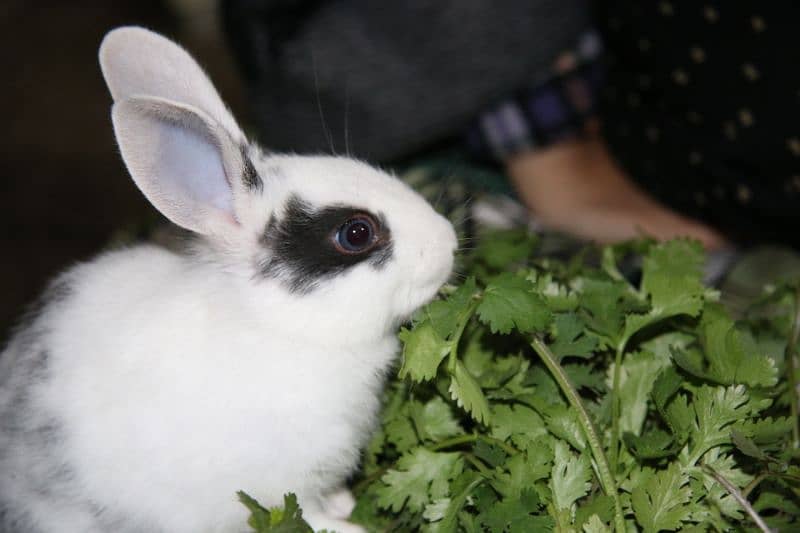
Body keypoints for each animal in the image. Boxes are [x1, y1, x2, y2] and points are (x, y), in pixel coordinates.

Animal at [0, 26, 456, 532]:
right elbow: (308, 513)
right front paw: (348, 524)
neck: (284, 326)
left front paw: (343, 503)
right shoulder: (286, 482)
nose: (449, 242)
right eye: (356, 233)